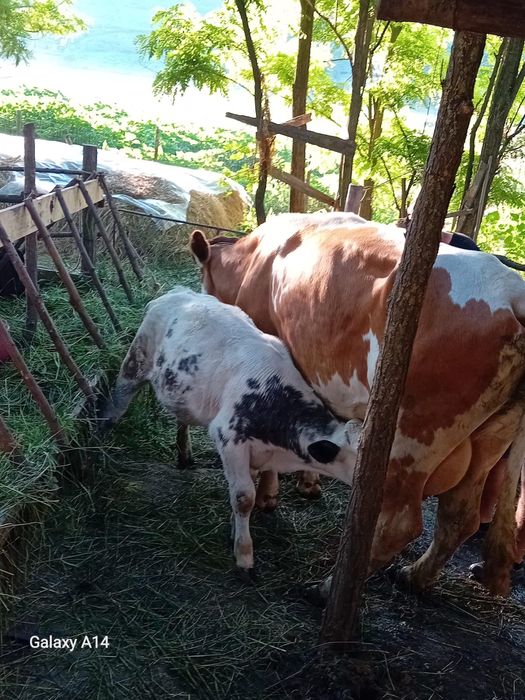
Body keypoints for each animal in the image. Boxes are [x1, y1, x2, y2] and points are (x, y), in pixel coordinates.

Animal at [99, 286, 362, 575]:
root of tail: (177, 291)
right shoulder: (229, 439)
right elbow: (243, 497)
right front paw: (244, 555)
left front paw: (234, 531)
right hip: (135, 362)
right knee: (116, 405)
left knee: (182, 418)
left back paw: (184, 455)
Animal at [190, 212, 525, 596]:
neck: (254, 259)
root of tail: (512, 292)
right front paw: (306, 483)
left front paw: (269, 493)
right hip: (490, 437)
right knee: (459, 516)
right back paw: (414, 576)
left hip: (411, 433)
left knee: (400, 523)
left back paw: (328, 588)